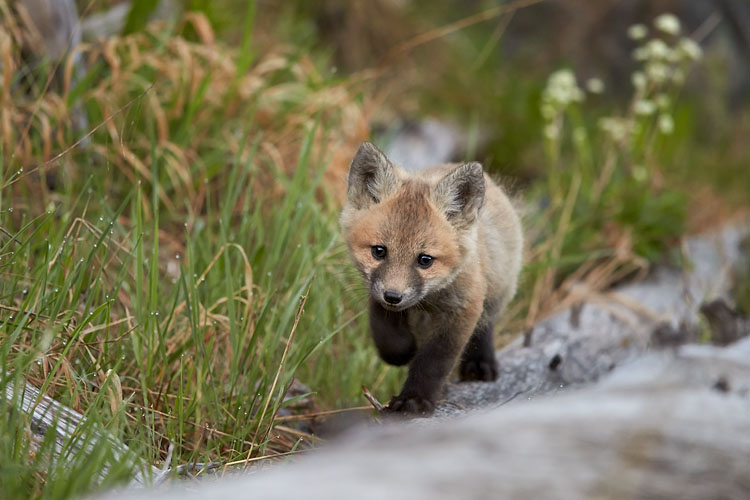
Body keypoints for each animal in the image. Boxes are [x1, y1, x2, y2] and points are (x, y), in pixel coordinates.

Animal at [340, 142, 524, 414]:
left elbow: (433, 361)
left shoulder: (462, 309)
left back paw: (480, 363)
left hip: (498, 290)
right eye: (379, 251)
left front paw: (415, 399)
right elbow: (389, 337)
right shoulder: (376, 293)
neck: (429, 301)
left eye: (425, 260)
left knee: (486, 325)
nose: (393, 296)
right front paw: (403, 353)